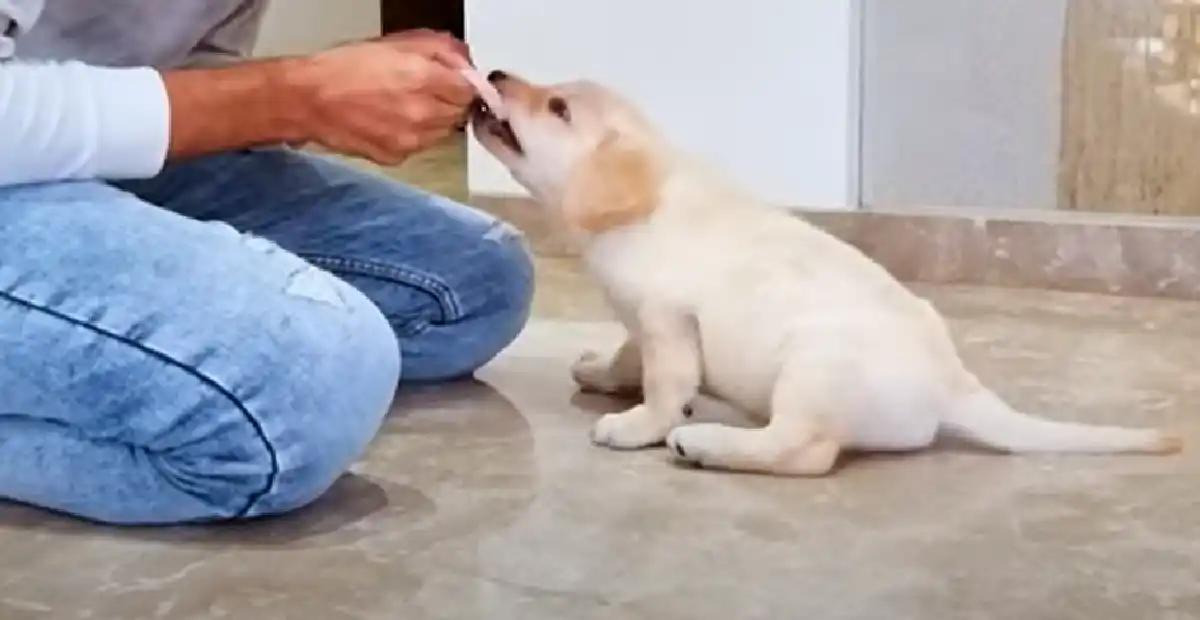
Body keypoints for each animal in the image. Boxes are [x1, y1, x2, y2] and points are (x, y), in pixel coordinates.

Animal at [468, 68, 1180, 474]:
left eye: (558, 109)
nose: (494, 70)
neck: (642, 206)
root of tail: (953, 386)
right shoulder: (642, 323)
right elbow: (628, 355)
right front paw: (601, 372)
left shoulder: (669, 320)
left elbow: (666, 387)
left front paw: (637, 425)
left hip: (814, 370)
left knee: (806, 451)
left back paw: (709, 445)